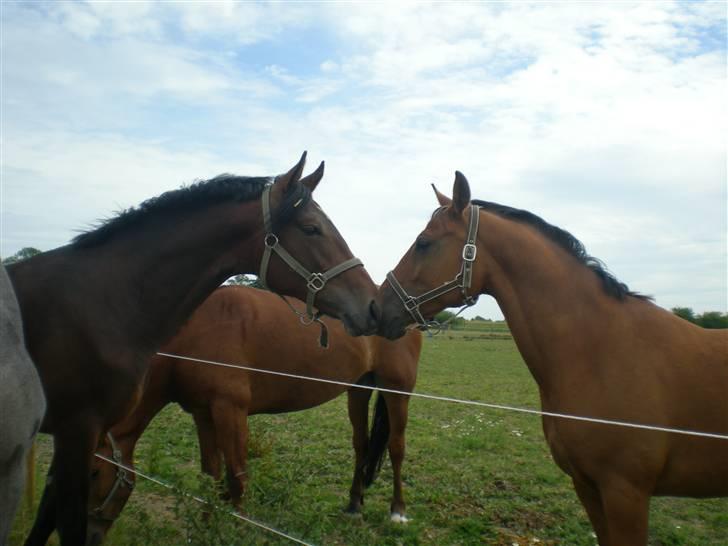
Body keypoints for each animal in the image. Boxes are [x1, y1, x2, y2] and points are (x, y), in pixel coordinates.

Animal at [5, 153, 378, 544]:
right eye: (311, 228)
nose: (372, 305)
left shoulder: (226, 410)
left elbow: (235, 482)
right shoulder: (194, 413)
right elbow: (212, 479)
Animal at [85, 284, 420, 540]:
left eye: (94, 472)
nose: (88, 535)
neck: (198, 333)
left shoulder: (230, 410)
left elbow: (237, 477)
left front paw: (237, 527)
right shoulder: (203, 414)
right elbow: (211, 474)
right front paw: (207, 525)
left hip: (397, 391)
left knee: (397, 447)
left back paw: (398, 511)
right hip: (359, 388)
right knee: (361, 445)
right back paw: (354, 505)